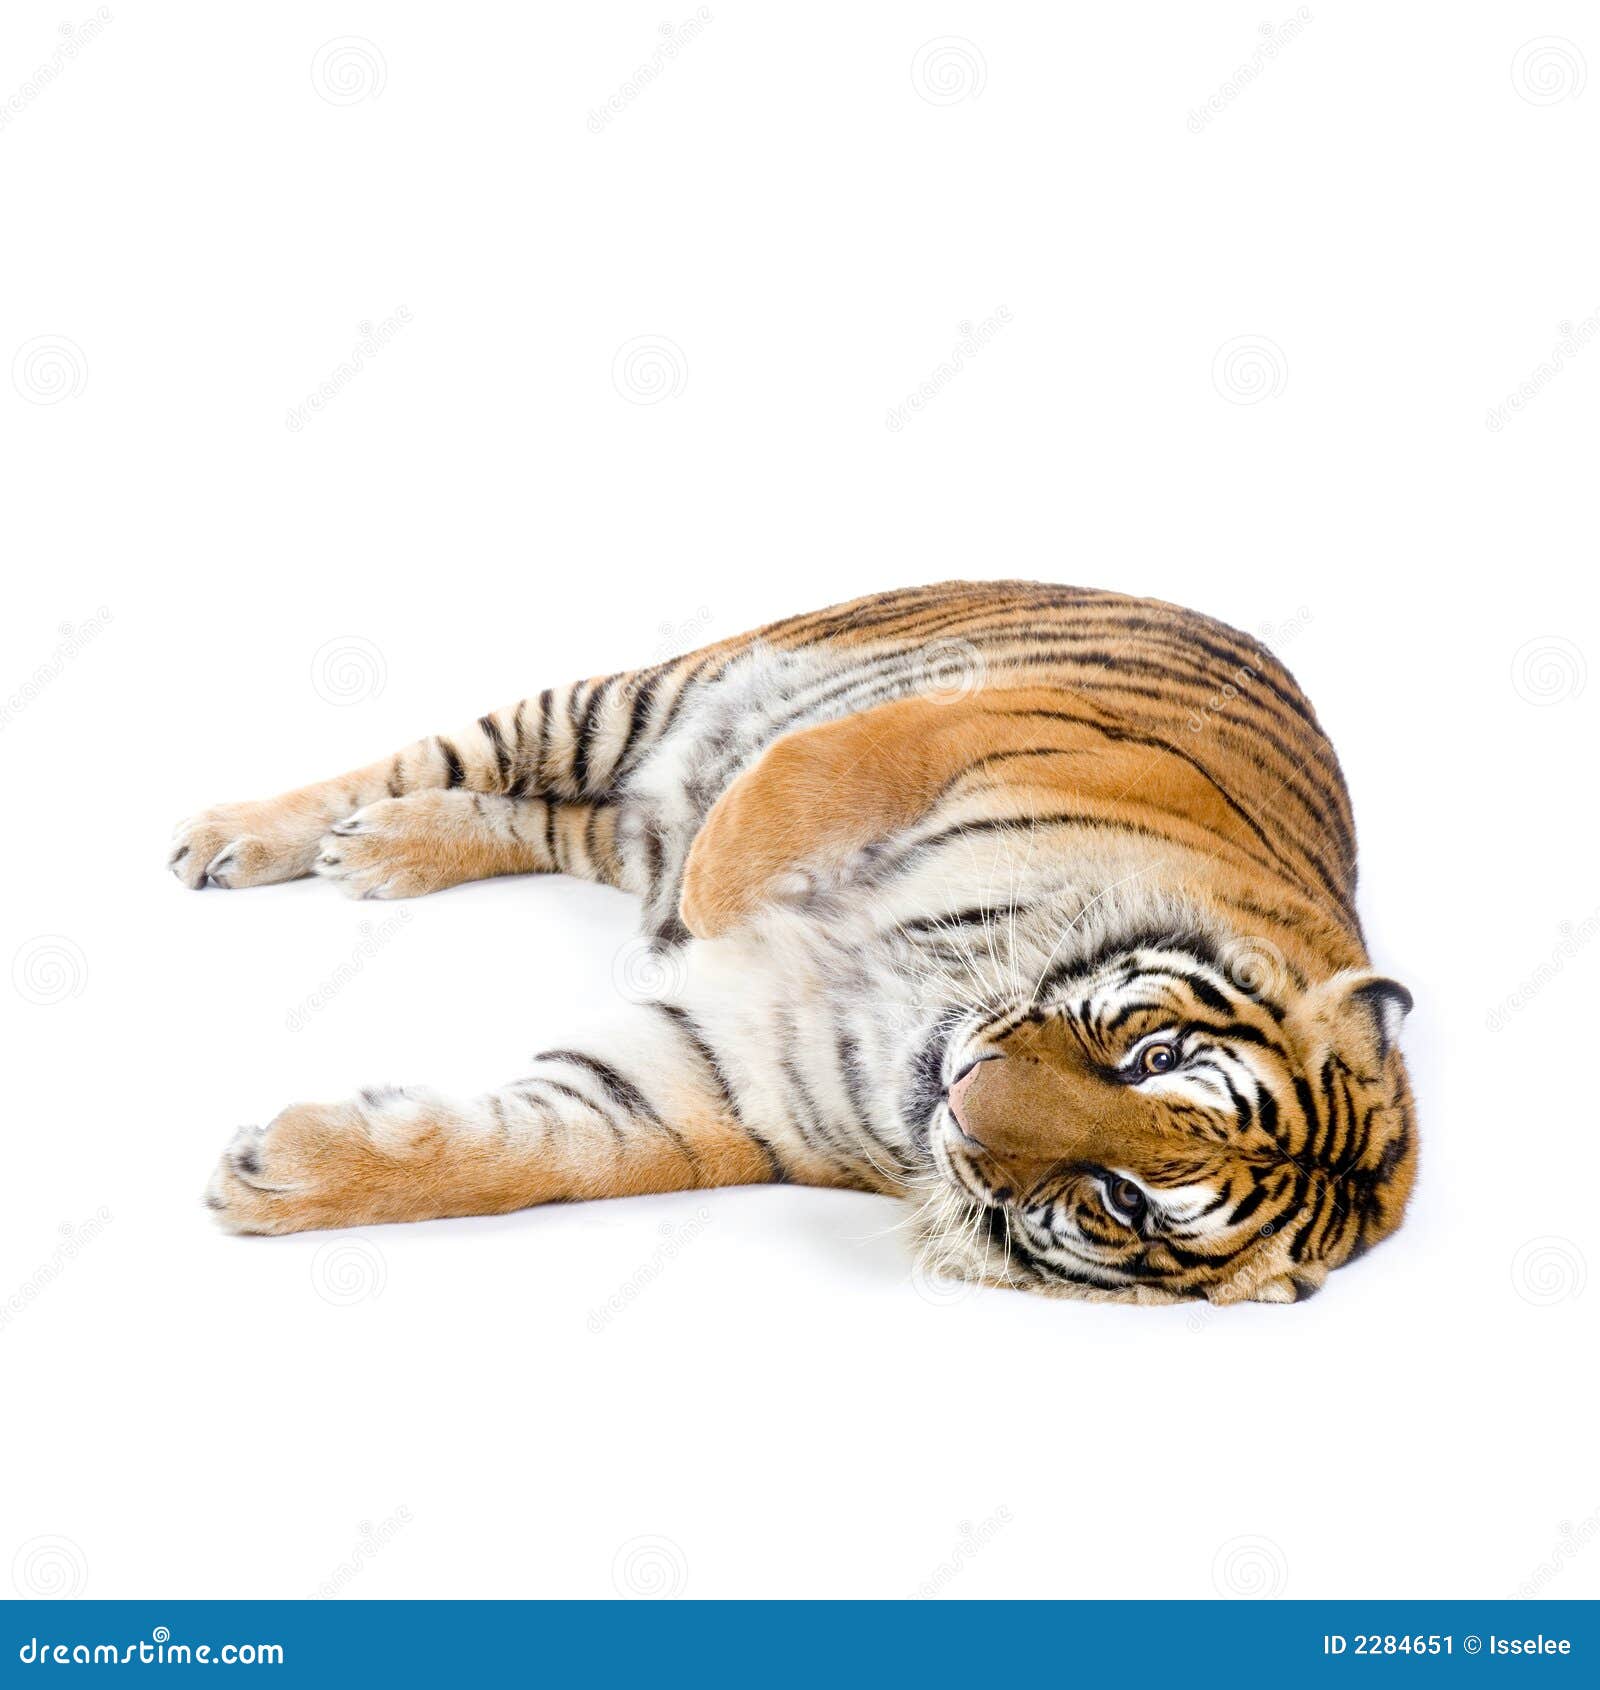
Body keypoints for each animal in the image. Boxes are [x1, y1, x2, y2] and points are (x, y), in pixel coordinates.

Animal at [172, 580, 1416, 1306]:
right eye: (1151, 1056)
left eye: (1122, 1200)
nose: (962, 1091)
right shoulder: (943, 732)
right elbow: (768, 816)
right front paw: (713, 916)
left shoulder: (715, 1094)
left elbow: (533, 1153)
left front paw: (271, 1176)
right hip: (623, 702)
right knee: (430, 760)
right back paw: (234, 838)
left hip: (612, 810)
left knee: (547, 819)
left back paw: (385, 850)